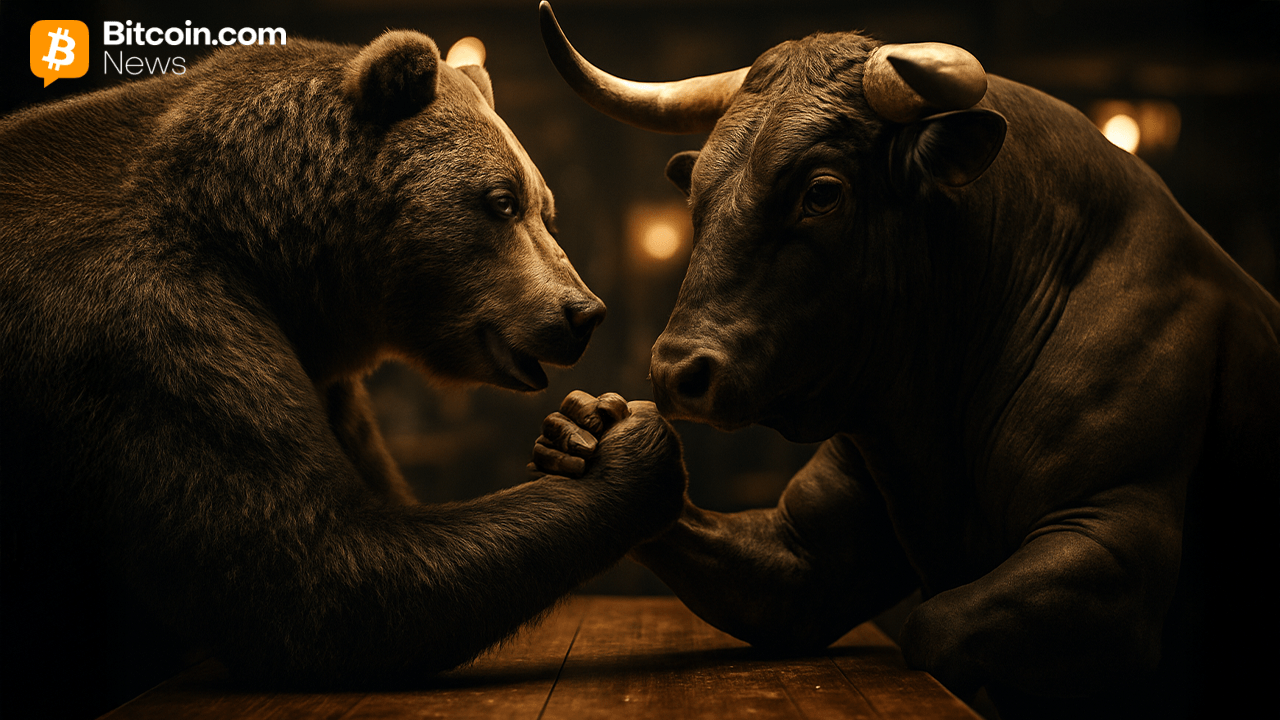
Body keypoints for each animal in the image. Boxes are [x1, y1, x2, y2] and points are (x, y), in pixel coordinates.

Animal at [0, 30, 686, 719]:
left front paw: (585, 426)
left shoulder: (324, 377)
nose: (583, 312)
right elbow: (322, 572)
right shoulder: (146, 334)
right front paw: (629, 445)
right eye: (501, 202)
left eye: (545, 209)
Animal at [532, 3, 1280, 718]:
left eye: (822, 191)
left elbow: (933, 628)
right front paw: (594, 441)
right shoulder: (805, 557)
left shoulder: (1113, 547)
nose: (677, 373)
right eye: (697, 197)